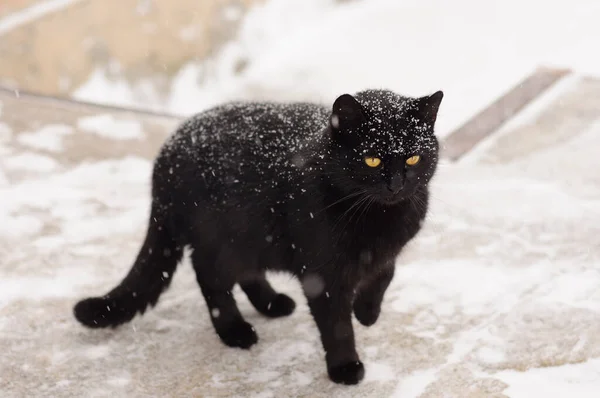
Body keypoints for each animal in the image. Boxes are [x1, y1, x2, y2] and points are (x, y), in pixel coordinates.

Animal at [74, 88, 440, 384]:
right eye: (372, 159)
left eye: (414, 157)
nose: (396, 185)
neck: (381, 217)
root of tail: (167, 151)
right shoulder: (323, 275)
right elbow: (337, 326)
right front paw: (345, 367)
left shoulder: (387, 251)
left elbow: (384, 274)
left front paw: (367, 312)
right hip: (219, 239)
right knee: (210, 277)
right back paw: (235, 331)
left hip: (249, 238)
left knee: (245, 272)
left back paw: (272, 303)